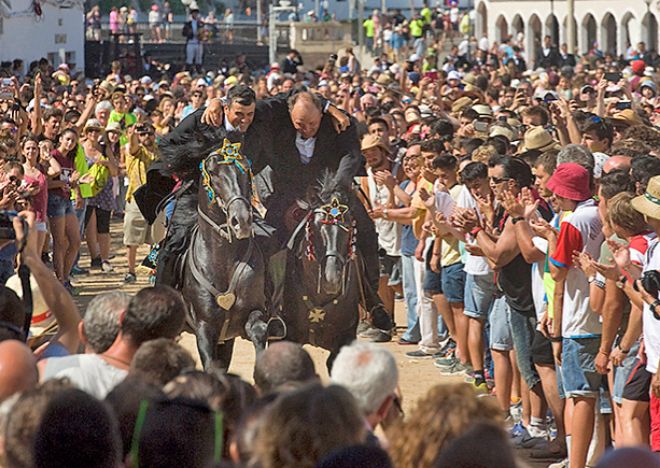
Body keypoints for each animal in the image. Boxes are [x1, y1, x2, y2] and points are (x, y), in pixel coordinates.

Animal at [180, 139, 268, 370]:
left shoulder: (252, 314)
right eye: (212, 172)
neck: (223, 260)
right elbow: (211, 366)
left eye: (246, 170)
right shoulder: (204, 327)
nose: (241, 220)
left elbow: (259, 331)